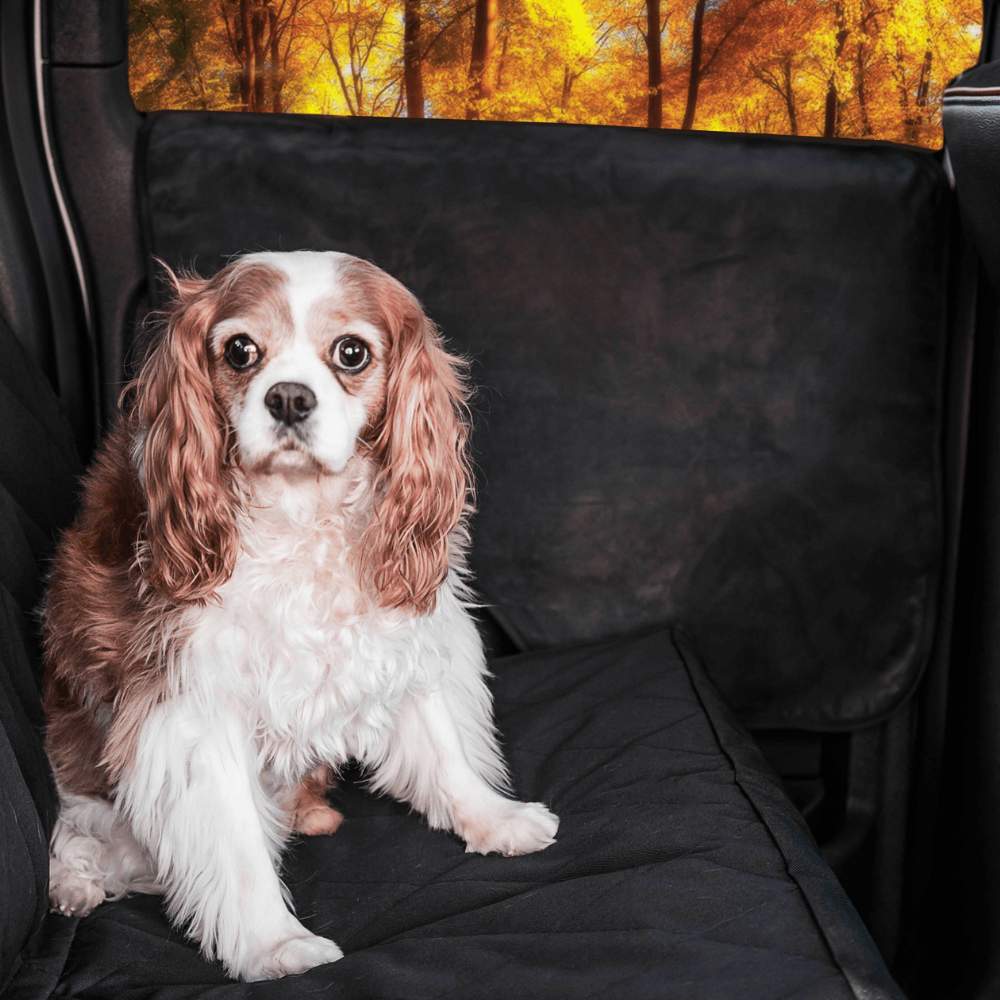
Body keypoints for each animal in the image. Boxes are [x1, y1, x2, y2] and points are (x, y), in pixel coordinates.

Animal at [43, 250, 560, 976]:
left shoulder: (397, 633)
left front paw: (493, 817)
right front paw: (273, 942)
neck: (302, 511)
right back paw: (74, 880)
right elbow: (235, 843)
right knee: (77, 829)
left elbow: (443, 744)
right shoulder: (193, 703)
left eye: (351, 352)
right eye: (240, 350)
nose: (289, 396)